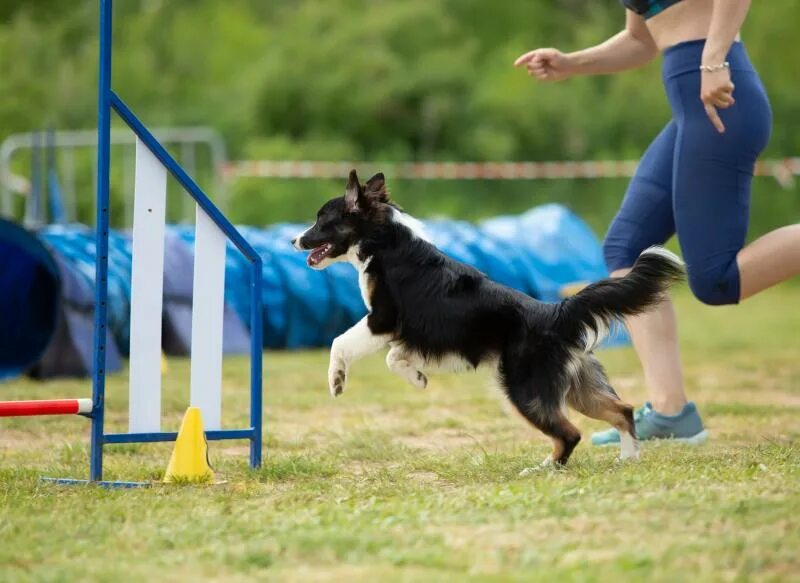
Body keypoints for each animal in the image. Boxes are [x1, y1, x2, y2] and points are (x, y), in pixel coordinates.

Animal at [290, 171, 684, 468]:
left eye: (322, 221)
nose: (293, 240)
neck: (383, 241)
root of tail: (556, 312)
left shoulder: (383, 319)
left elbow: (340, 342)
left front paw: (336, 381)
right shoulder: (419, 334)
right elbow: (394, 358)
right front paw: (418, 379)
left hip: (525, 390)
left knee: (570, 433)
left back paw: (543, 469)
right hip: (576, 386)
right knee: (622, 410)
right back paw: (627, 458)